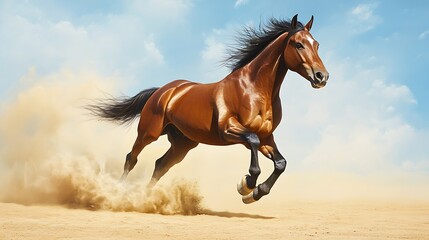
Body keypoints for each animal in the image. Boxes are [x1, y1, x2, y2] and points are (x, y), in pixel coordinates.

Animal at [87, 14, 328, 202]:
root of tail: (164, 90)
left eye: (316, 44)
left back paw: (145, 199)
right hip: (149, 132)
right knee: (131, 158)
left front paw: (256, 193)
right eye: (298, 44)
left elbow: (281, 163)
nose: (321, 76)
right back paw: (119, 194)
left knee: (160, 165)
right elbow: (252, 145)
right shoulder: (229, 129)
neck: (254, 89)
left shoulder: (267, 137)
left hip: (183, 144)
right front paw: (247, 184)